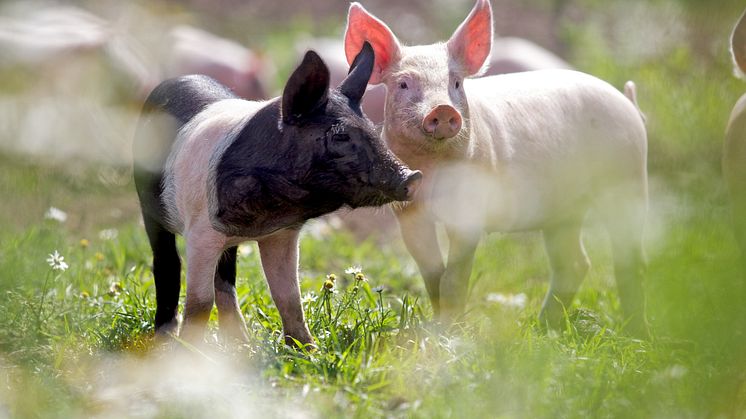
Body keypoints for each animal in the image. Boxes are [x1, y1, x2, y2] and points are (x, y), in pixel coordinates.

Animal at [346, 0, 648, 334]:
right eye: (403, 83)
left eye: (455, 83)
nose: (443, 109)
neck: (435, 169)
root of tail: (629, 103)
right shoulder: (410, 215)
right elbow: (434, 276)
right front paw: (437, 329)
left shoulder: (469, 212)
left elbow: (453, 278)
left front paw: (450, 333)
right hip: (564, 212)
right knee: (575, 263)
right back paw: (542, 328)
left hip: (629, 179)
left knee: (629, 258)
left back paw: (635, 333)